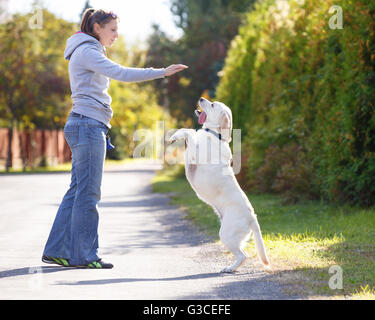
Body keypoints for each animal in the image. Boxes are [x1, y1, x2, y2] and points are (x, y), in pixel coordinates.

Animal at [170, 97, 270, 272]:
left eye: (212, 105)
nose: (201, 98)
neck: (214, 134)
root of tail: (252, 217)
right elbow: (190, 130)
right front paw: (176, 134)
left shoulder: (195, 154)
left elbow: (190, 132)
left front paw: (178, 134)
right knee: (243, 254)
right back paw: (232, 267)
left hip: (226, 234)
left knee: (243, 256)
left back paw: (229, 268)